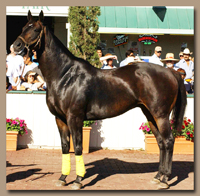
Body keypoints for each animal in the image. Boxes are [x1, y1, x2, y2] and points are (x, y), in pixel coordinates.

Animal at [12, 10, 186, 190]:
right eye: (24, 27)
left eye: (35, 29)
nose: (16, 46)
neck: (65, 75)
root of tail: (171, 72)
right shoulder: (60, 119)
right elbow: (65, 147)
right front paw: (62, 178)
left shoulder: (74, 118)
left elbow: (78, 147)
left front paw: (78, 180)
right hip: (150, 115)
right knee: (160, 142)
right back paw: (158, 176)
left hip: (161, 115)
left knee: (168, 141)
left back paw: (165, 179)